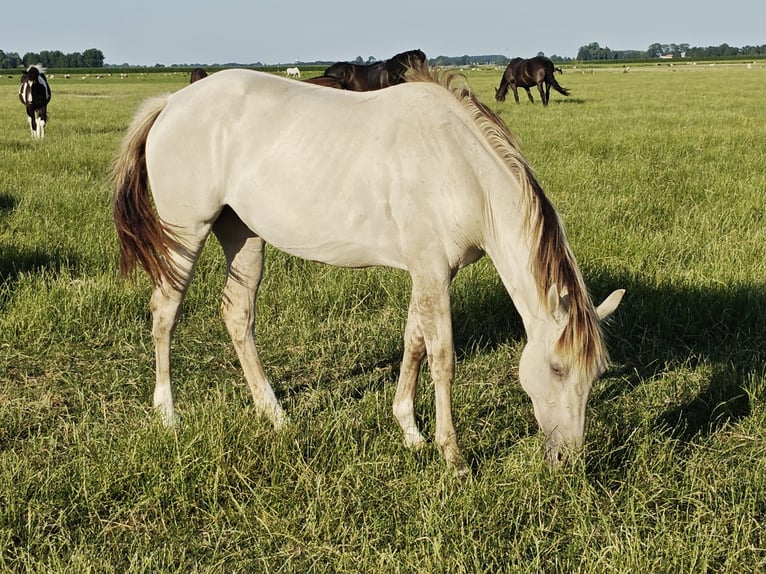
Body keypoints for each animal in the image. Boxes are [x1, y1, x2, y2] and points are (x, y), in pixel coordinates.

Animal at [112, 67, 623, 474]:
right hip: (186, 233)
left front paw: (410, 431)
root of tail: (170, 103)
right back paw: (169, 415)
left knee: (237, 315)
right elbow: (442, 359)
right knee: (165, 312)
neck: (459, 163)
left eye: (597, 374)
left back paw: (274, 415)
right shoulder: (432, 272)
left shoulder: (429, 272)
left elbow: (414, 343)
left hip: (244, 236)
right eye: (556, 369)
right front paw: (453, 456)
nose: (568, 459)